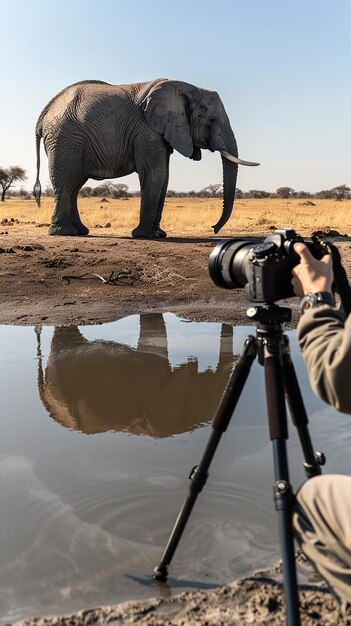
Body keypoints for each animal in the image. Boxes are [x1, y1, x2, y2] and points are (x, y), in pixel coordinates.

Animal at [33, 76, 258, 236]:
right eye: (211, 120)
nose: (214, 228)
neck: (186, 88)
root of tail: (43, 115)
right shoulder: (147, 130)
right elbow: (155, 173)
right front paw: (147, 235)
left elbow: (165, 178)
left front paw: (160, 234)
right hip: (64, 139)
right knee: (66, 181)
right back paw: (63, 233)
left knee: (75, 184)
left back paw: (80, 232)